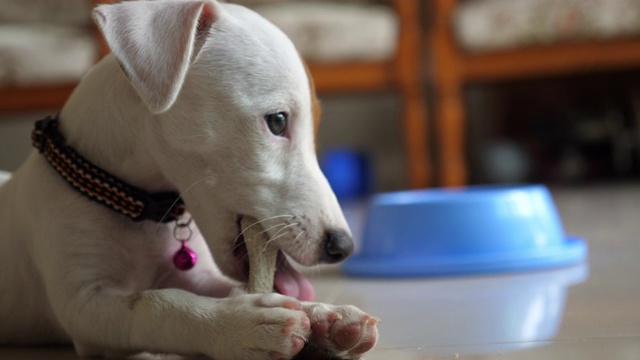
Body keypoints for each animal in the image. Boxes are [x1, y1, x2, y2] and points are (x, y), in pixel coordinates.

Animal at [0, 1, 378, 358]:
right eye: (278, 121)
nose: (343, 247)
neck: (134, 205)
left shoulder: (197, 276)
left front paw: (323, 314)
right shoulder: (83, 304)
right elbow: (155, 303)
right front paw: (243, 326)